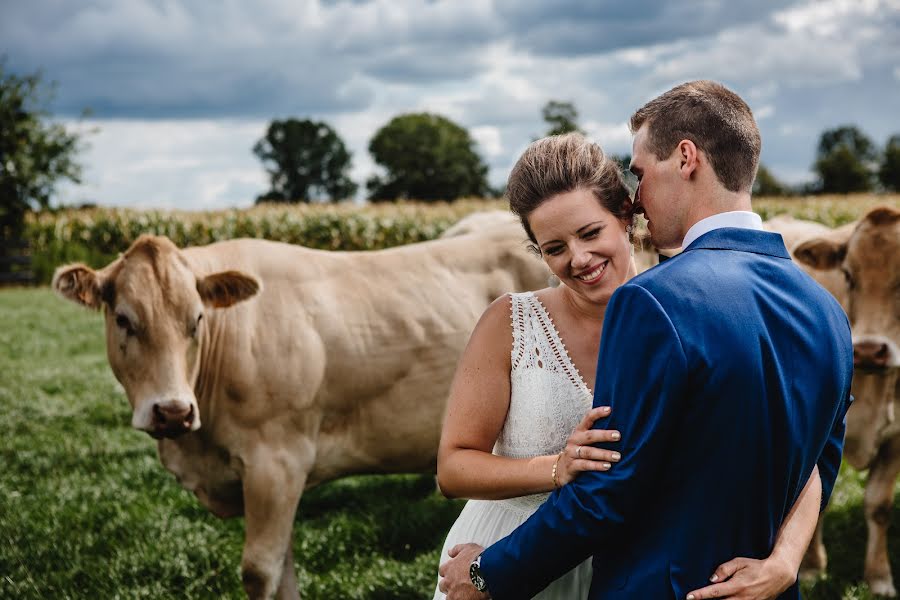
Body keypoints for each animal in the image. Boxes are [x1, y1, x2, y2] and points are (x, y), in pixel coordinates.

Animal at [56, 229, 552, 600]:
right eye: (123, 319)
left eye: (195, 320)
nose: (172, 411)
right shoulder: (272, 481)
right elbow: (282, 566)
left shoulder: (276, 462)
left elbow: (260, 570)